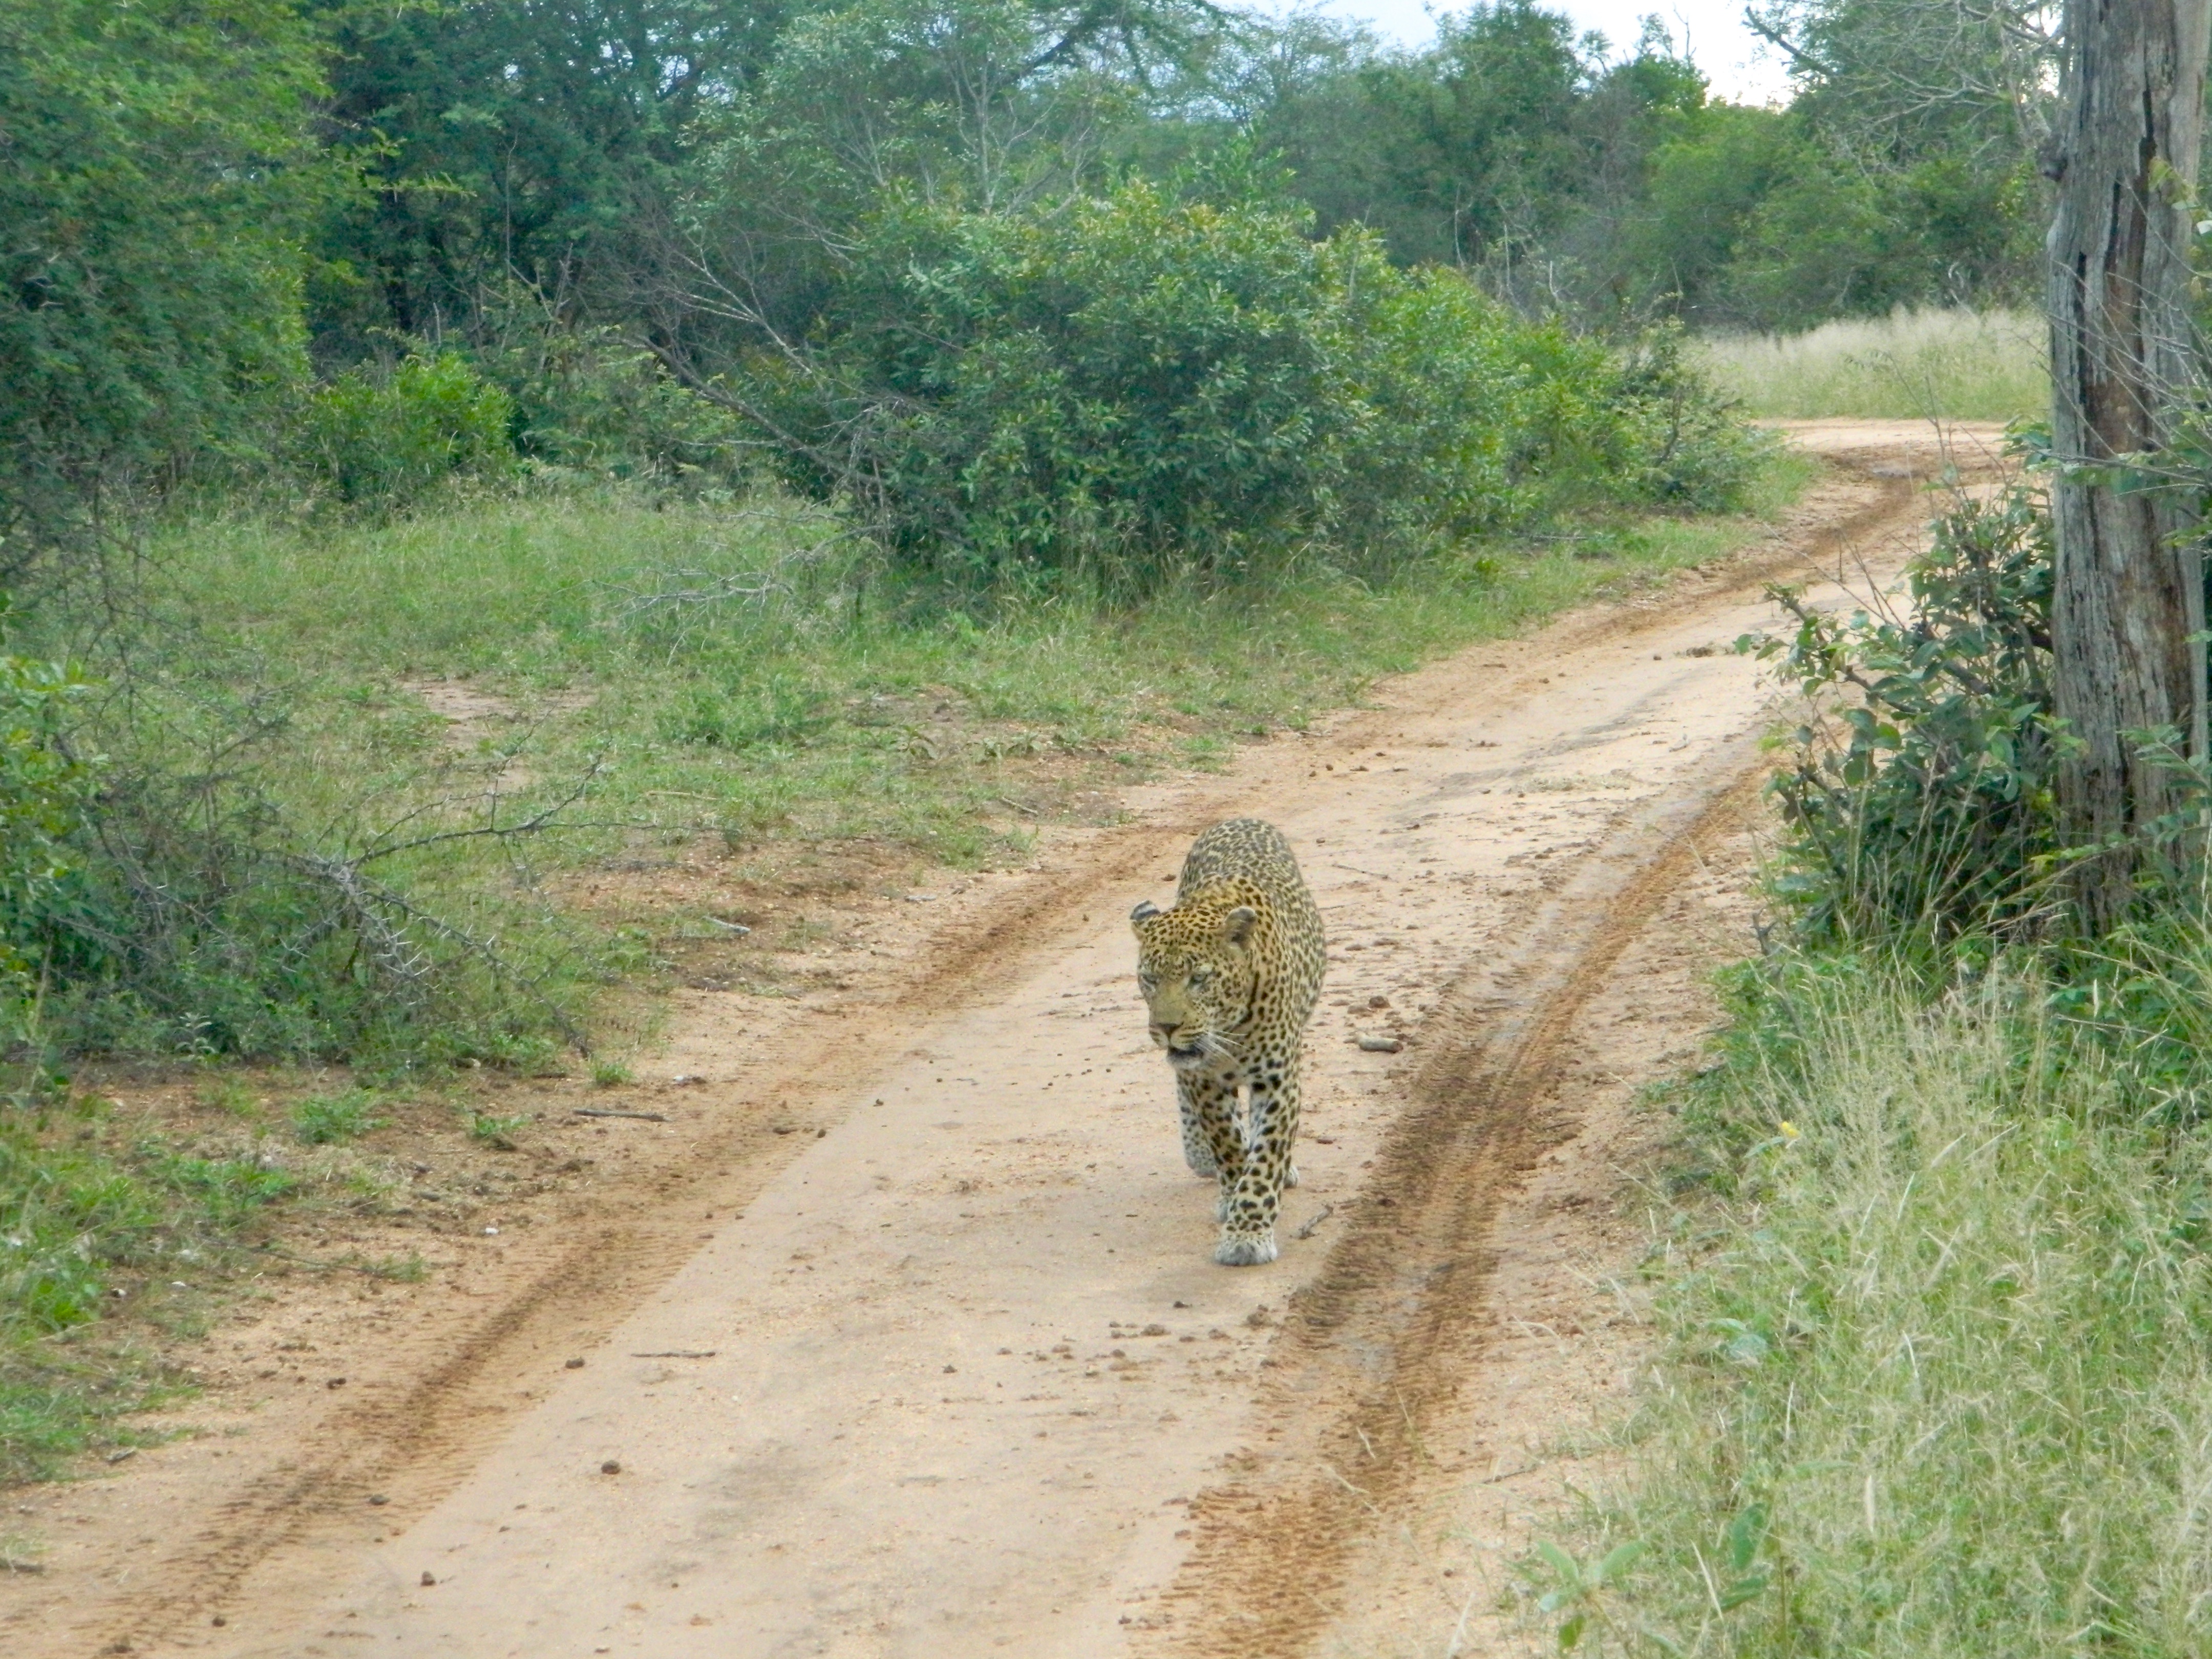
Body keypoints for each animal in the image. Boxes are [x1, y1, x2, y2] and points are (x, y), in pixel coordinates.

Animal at [1132, 823, 1318, 1274]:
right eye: (1149, 979)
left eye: (1199, 979)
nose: (1166, 1027)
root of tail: (1239, 817)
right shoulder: (1205, 1080)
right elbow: (1230, 1146)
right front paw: (1234, 1201)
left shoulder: (1280, 1080)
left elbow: (1266, 1157)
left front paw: (1247, 1234)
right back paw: (1201, 1157)